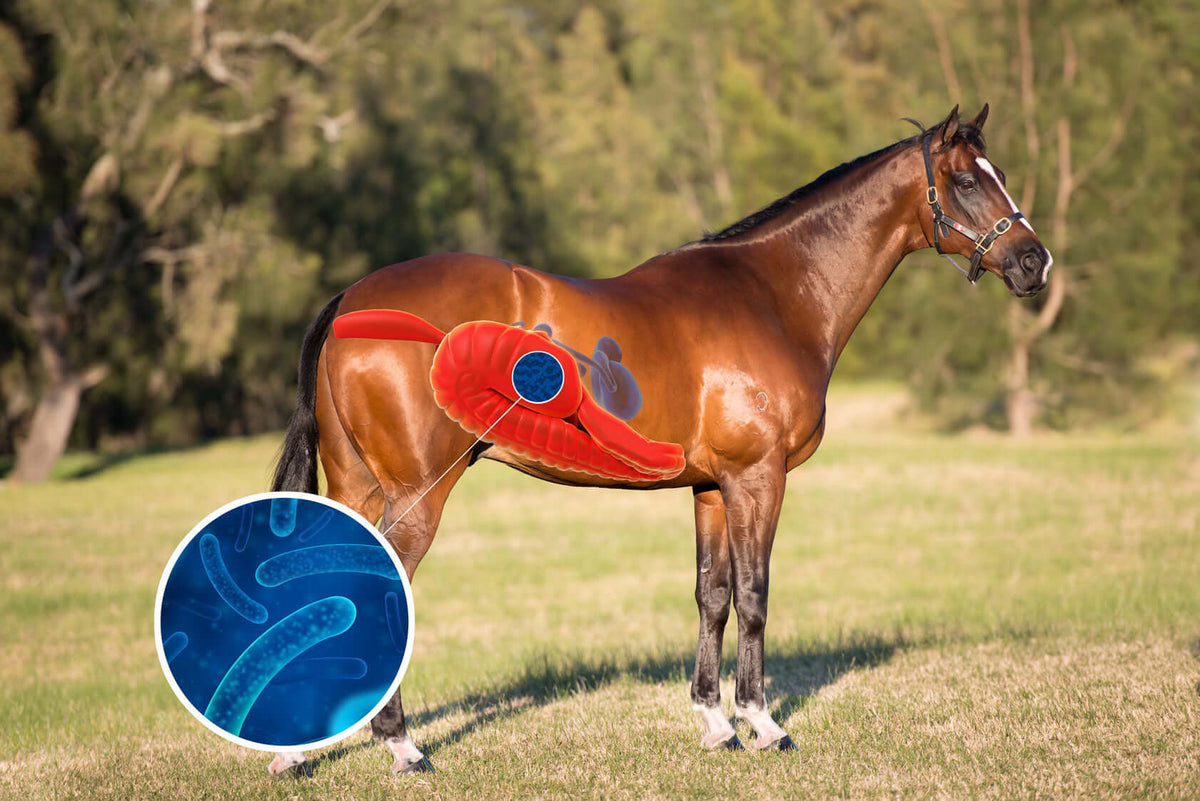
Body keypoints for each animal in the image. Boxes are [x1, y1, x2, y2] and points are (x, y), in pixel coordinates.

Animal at [265, 104, 1052, 775]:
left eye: (996, 174)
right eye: (965, 180)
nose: (1033, 261)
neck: (775, 294)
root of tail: (352, 300)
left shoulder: (711, 486)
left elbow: (712, 595)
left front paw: (715, 722)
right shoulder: (758, 477)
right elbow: (754, 594)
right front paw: (763, 723)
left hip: (359, 485)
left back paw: (297, 749)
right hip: (414, 494)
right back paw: (401, 745)